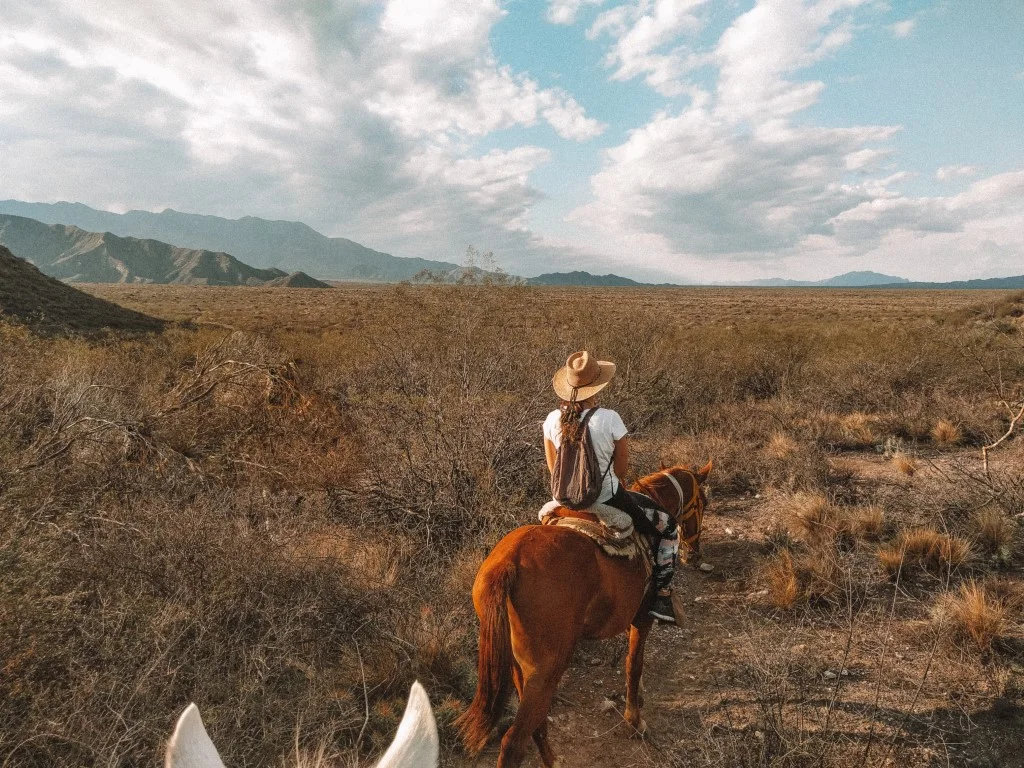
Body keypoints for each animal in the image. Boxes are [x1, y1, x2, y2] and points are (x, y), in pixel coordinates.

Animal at [458, 460, 712, 765]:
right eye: (704, 502)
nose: (694, 553)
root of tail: (507, 563)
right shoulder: (641, 617)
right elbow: (634, 664)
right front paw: (634, 720)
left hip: (519, 668)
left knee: (536, 724)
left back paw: (552, 760)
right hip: (546, 670)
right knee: (513, 742)